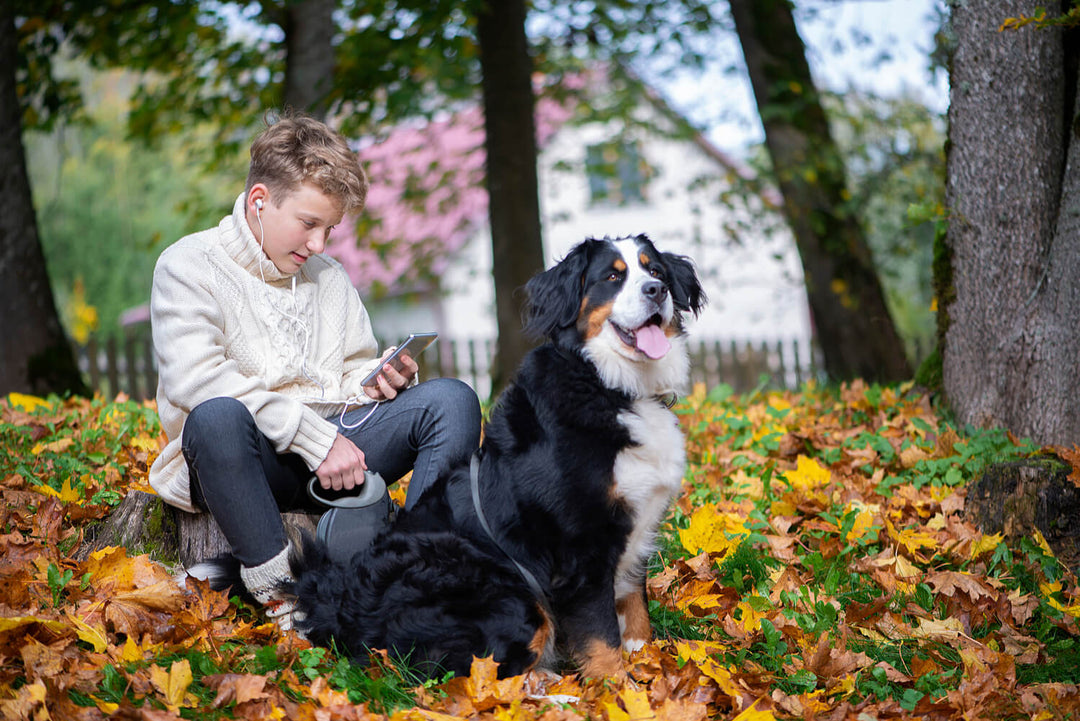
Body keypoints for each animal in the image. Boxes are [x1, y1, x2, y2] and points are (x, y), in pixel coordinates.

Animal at [209, 235, 704, 682]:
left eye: (655, 270)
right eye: (613, 278)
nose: (656, 291)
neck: (611, 386)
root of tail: (339, 599)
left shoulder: (634, 533)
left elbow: (635, 619)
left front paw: (652, 679)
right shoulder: (583, 547)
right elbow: (603, 642)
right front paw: (617, 695)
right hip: (507, 591)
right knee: (470, 674)